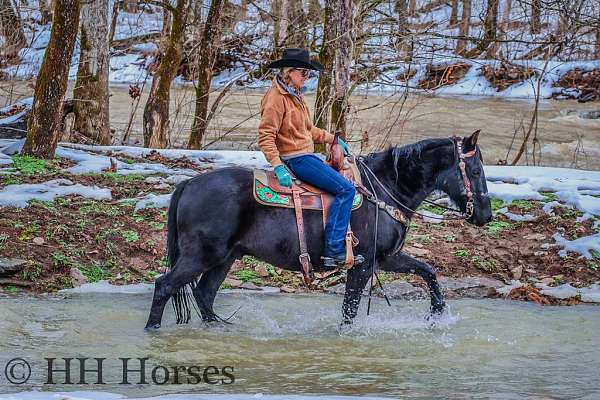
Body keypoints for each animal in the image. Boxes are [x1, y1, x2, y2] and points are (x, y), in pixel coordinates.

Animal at [145, 133, 492, 330]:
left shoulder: (386, 259)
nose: (486, 216)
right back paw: (153, 331)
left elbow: (428, 271)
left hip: (225, 258)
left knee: (204, 294)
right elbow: (350, 310)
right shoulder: (362, 265)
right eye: (475, 171)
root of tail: (189, 183)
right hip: (201, 255)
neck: (384, 188)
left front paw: (438, 316)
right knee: (164, 286)